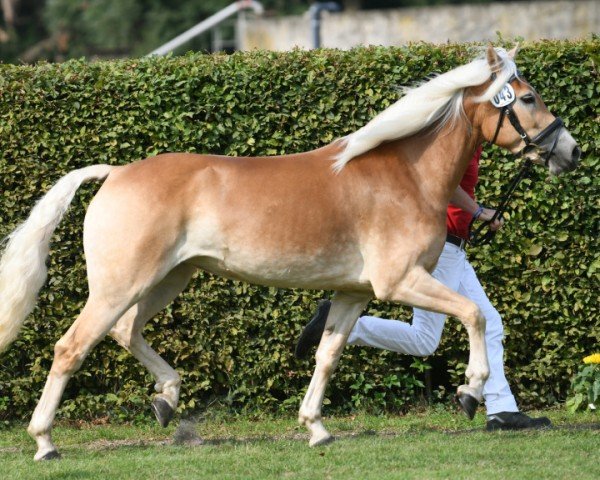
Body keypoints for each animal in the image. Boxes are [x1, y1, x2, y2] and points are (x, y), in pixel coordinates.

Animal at [0, 46, 580, 462]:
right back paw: (45, 443)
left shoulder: (353, 295)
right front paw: (470, 392)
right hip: (121, 284)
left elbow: (327, 356)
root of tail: (116, 173)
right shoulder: (401, 281)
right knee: (71, 348)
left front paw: (316, 429)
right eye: (528, 98)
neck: (406, 175)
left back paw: (167, 400)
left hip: (168, 280)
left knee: (125, 332)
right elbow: (474, 314)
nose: (571, 152)